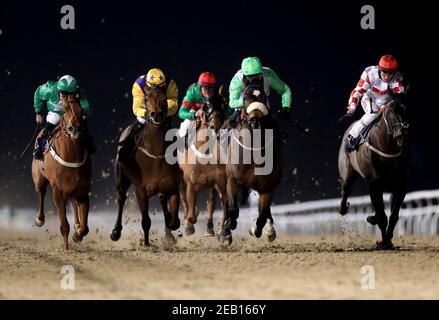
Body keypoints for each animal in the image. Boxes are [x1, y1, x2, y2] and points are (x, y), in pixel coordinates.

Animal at [31, 94, 91, 249]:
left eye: (81, 110)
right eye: (64, 110)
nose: (74, 128)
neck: (71, 156)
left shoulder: (82, 189)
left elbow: (85, 227)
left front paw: (77, 234)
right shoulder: (57, 190)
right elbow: (64, 225)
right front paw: (66, 248)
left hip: (72, 189)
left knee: (74, 202)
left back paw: (77, 225)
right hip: (39, 179)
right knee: (41, 193)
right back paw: (39, 219)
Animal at [111, 84, 181, 245]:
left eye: (164, 97)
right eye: (146, 99)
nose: (156, 114)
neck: (155, 154)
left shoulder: (172, 187)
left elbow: (174, 221)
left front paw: (170, 228)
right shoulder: (141, 191)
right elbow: (146, 221)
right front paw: (147, 244)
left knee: (162, 200)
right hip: (121, 178)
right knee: (121, 198)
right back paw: (116, 231)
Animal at [179, 86, 230, 236]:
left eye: (224, 105)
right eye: (206, 106)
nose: (215, 126)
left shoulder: (219, 181)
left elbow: (221, 203)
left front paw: (220, 230)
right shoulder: (190, 183)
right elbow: (189, 210)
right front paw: (189, 224)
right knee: (184, 199)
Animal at [220, 84, 286, 245]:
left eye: (264, 97)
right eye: (245, 98)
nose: (255, 121)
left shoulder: (267, 187)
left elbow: (262, 216)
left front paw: (259, 230)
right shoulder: (232, 180)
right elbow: (232, 210)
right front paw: (229, 225)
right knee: (226, 205)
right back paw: (225, 233)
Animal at [338, 92, 410, 250]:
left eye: (404, 109)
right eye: (390, 112)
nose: (402, 132)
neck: (387, 150)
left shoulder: (400, 186)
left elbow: (393, 216)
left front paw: (387, 240)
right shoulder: (374, 184)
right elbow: (382, 216)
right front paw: (384, 242)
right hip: (348, 171)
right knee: (346, 189)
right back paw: (343, 208)